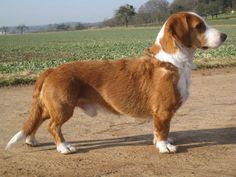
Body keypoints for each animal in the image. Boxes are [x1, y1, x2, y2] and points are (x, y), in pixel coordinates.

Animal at [6, 12, 227, 153]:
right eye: (199, 26)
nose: (225, 35)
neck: (171, 60)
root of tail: (51, 69)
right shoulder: (163, 111)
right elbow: (163, 129)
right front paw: (165, 147)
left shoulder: (160, 114)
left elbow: (158, 130)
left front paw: (159, 142)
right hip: (63, 108)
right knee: (53, 126)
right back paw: (63, 147)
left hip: (50, 106)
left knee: (36, 121)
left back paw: (31, 139)